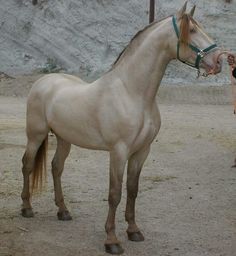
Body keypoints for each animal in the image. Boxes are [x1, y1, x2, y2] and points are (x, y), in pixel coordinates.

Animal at [21, 2, 222, 254]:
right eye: (192, 30)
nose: (219, 61)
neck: (132, 93)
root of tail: (44, 81)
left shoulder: (141, 151)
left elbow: (132, 190)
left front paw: (134, 231)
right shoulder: (119, 151)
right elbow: (114, 193)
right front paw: (112, 240)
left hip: (64, 139)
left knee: (56, 167)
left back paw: (63, 211)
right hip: (35, 135)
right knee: (27, 165)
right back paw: (27, 208)